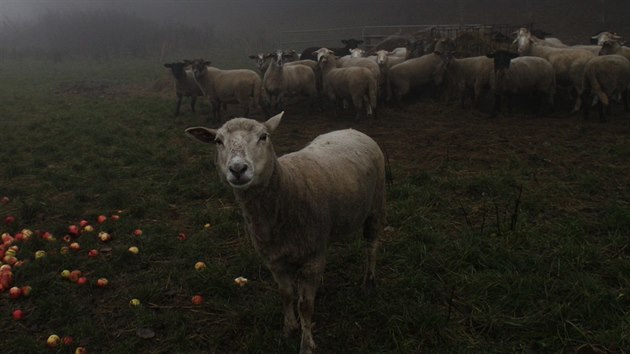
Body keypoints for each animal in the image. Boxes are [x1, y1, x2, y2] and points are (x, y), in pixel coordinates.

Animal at [185, 112, 388, 354]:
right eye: (218, 141)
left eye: (264, 136)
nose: (238, 169)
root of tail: (351, 130)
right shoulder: (274, 259)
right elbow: (286, 295)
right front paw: (289, 330)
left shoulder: (312, 257)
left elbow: (305, 305)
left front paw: (306, 344)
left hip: (376, 205)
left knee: (372, 246)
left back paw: (369, 282)